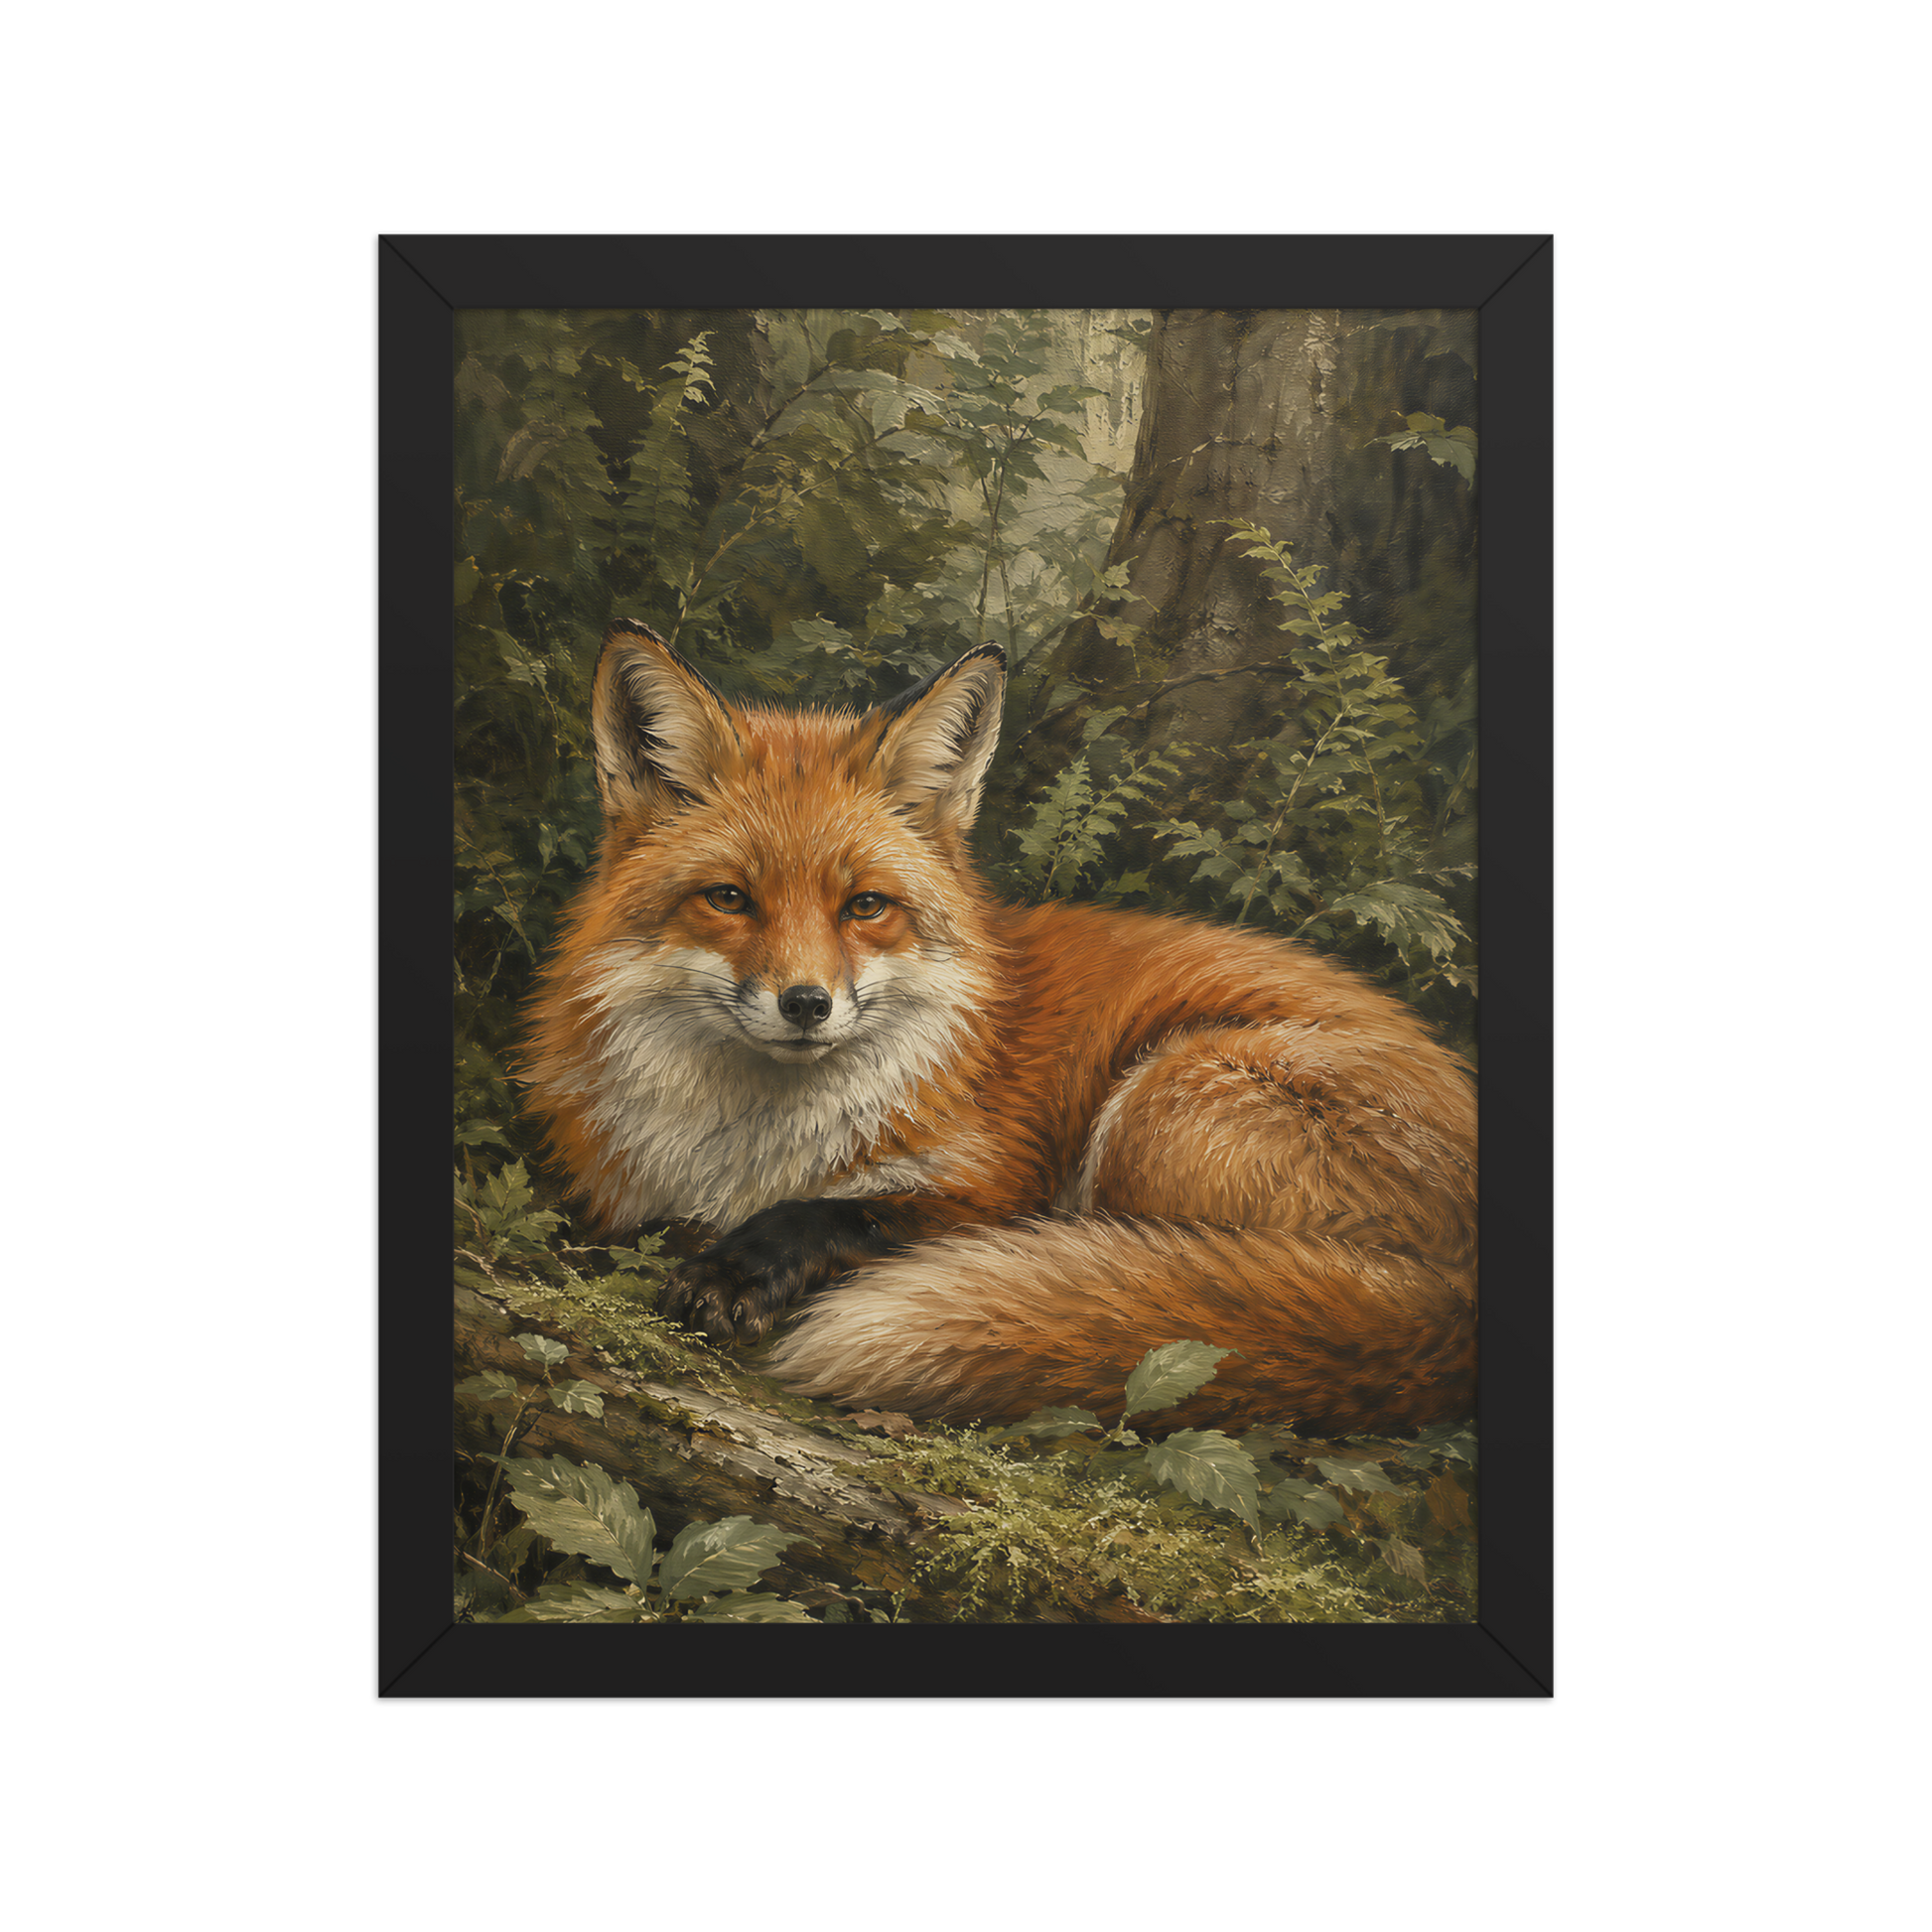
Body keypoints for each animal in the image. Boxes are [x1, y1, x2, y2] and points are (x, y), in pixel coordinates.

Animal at [521, 618, 1476, 1438]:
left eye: (865, 906)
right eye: (729, 898)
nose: (806, 1004)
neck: (747, 1148)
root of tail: (1459, 1307)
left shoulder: (995, 1192)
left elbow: (851, 1216)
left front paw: (738, 1267)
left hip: (1160, 1101)